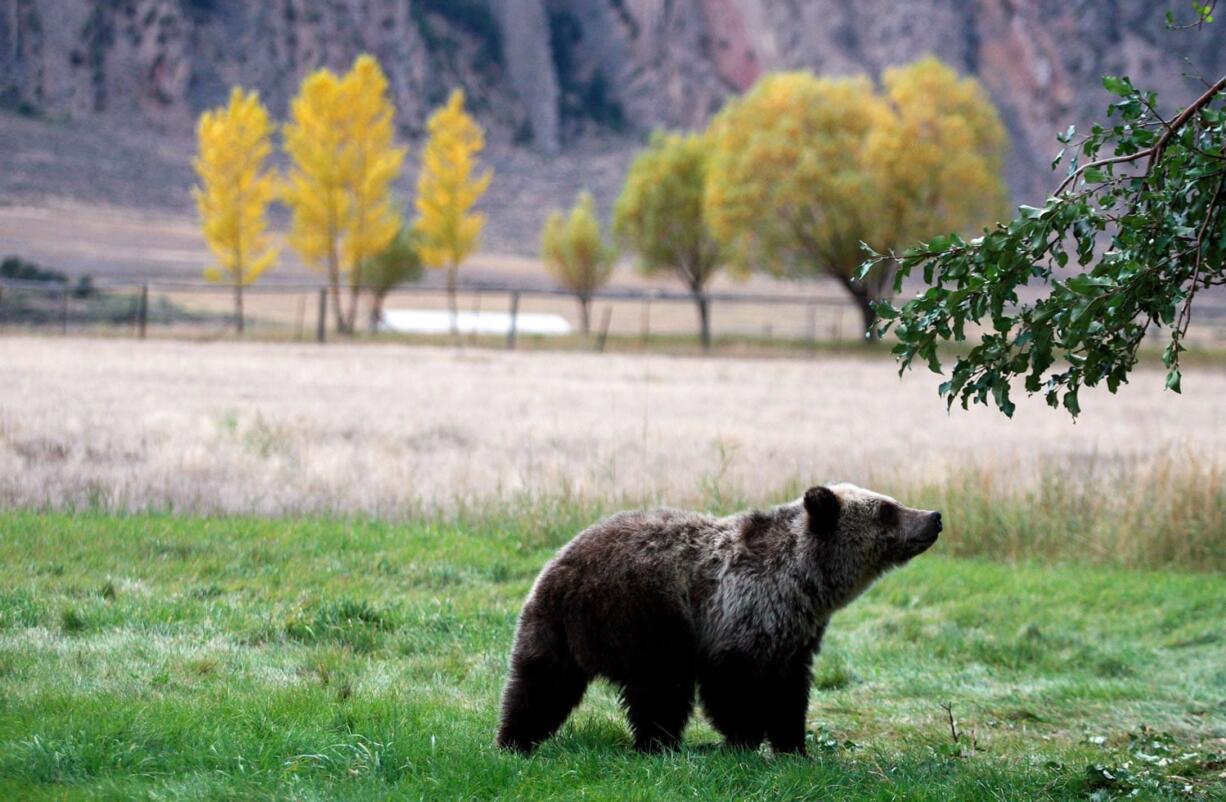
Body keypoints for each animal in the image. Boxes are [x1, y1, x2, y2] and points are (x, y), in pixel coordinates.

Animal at [492, 488, 941, 755]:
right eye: (887, 509)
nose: (934, 516)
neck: (805, 582)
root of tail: (559, 566)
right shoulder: (740, 613)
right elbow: (734, 687)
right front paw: (744, 739)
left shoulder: (796, 635)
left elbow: (790, 692)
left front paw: (793, 746)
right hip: (644, 615)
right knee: (660, 688)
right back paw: (660, 745)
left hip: (552, 630)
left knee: (540, 684)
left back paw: (515, 739)